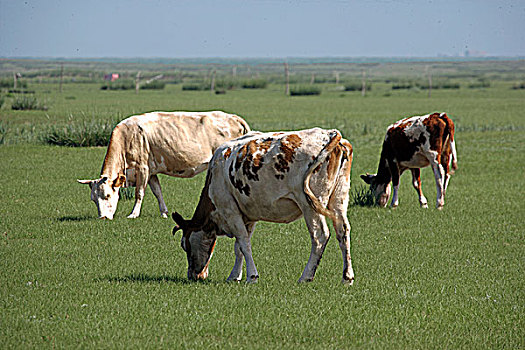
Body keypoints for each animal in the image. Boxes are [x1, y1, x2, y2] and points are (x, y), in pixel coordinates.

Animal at [77, 110, 251, 219]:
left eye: (107, 195)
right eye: (93, 199)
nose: (103, 218)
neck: (126, 137)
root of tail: (233, 117)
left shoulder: (143, 168)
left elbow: (139, 193)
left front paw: (133, 214)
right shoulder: (151, 172)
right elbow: (157, 192)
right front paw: (164, 213)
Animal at [170, 129, 354, 284]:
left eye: (185, 245)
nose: (194, 275)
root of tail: (330, 134)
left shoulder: (230, 210)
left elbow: (243, 243)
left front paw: (251, 277)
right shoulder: (248, 215)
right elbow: (239, 247)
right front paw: (235, 276)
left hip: (310, 205)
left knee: (320, 236)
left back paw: (306, 277)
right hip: (339, 198)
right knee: (343, 231)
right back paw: (347, 277)